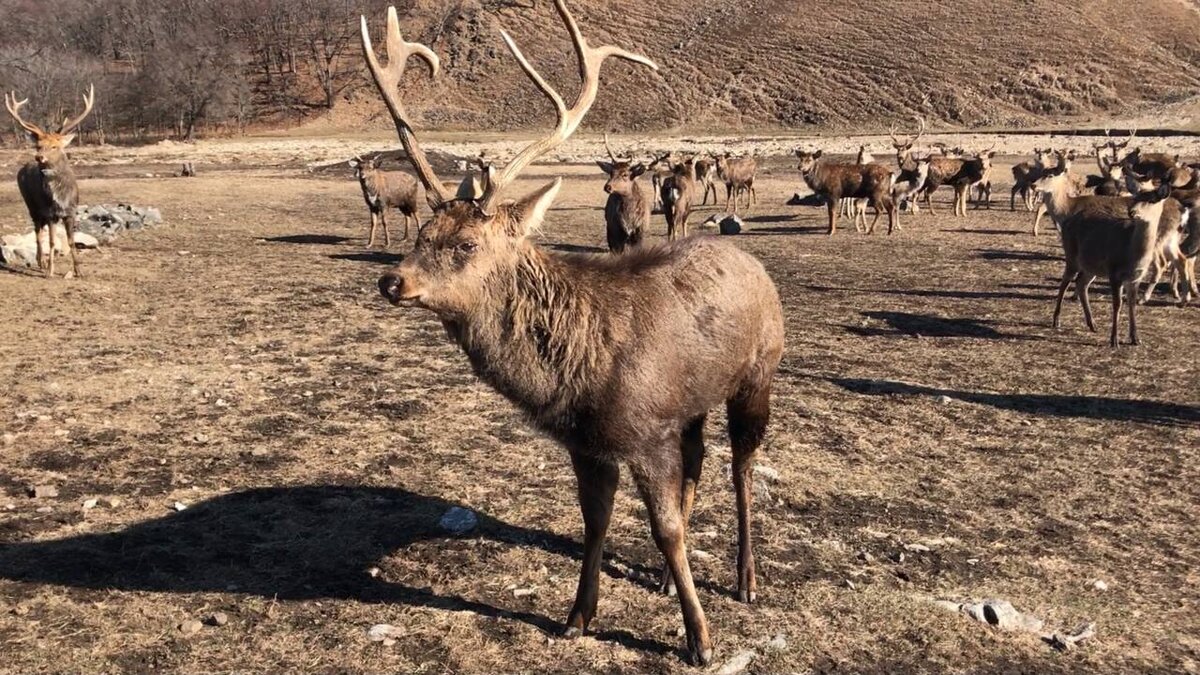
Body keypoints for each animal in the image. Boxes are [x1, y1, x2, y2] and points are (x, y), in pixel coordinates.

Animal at [4, 85, 94, 277]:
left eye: (55, 146)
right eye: (38, 146)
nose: (39, 157)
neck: (61, 198)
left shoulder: (71, 212)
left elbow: (71, 241)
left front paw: (79, 270)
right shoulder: (50, 213)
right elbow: (52, 242)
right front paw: (50, 271)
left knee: (41, 232)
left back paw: (42, 262)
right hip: (32, 206)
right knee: (38, 233)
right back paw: (42, 263)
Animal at [360, 1, 782, 662]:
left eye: (465, 244)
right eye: (424, 232)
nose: (391, 281)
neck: (576, 372)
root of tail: (754, 263)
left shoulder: (644, 430)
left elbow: (665, 528)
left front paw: (700, 638)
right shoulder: (587, 441)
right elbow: (595, 521)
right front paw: (577, 616)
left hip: (758, 375)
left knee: (741, 467)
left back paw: (746, 580)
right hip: (691, 404)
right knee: (699, 458)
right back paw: (668, 582)